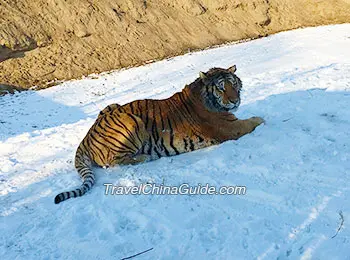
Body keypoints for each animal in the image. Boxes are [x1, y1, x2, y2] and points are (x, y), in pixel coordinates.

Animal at [54, 64, 262, 203]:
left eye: (234, 84)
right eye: (221, 87)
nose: (235, 101)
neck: (207, 98)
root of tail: (85, 138)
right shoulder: (229, 128)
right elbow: (253, 121)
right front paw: (262, 118)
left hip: (111, 106)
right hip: (131, 120)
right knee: (114, 161)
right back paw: (146, 157)